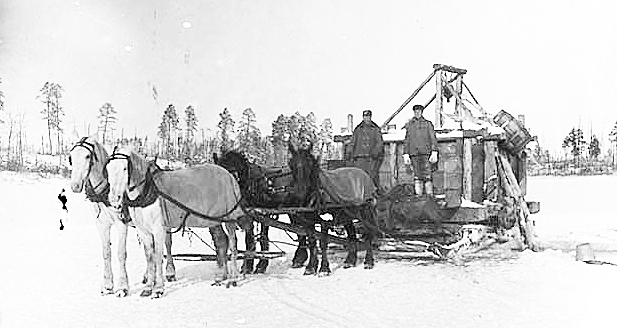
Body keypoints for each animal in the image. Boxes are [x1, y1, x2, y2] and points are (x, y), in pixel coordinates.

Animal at [107, 147, 247, 298]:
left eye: (124, 168)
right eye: (108, 168)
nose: (114, 199)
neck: (146, 190)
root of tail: (230, 176)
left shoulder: (159, 229)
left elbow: (158, 256)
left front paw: (158, 289)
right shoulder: (143, 230)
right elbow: (149, 257)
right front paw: (148, 287)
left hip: (229, 218)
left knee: (233, 244)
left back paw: (232, 278)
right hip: (213, 221)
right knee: (221, 242)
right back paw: (220, 277)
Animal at [288, 142, 380, 274]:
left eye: (310, 164)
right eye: (291, 164)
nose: (300, 191)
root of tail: (364, 174)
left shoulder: (325, 222)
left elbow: (323, 243)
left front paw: (324, 269)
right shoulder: (308, 222)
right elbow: (312, 243)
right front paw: (311, 267)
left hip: (365, 212)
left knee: (368, 234)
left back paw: (368, 262)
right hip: (348, 215)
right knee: (352, 235)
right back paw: (350, 261)